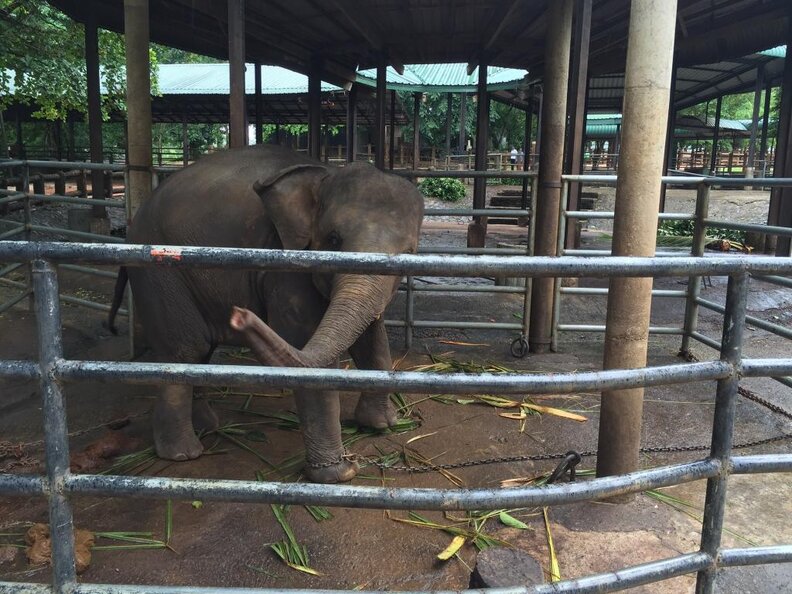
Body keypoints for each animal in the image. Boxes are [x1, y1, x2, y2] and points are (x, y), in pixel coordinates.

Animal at [108, 144, 424, 483]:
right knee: (186, 349)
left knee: (198, 350)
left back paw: (207, 426)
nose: (240, 315)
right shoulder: (285, 266)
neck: (324, 173)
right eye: (333, 239)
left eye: (409, 254)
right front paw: (340, 475)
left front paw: (383, 425)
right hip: (158, 273)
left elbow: (373, 338)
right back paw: (183, 453)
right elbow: (308, 349)